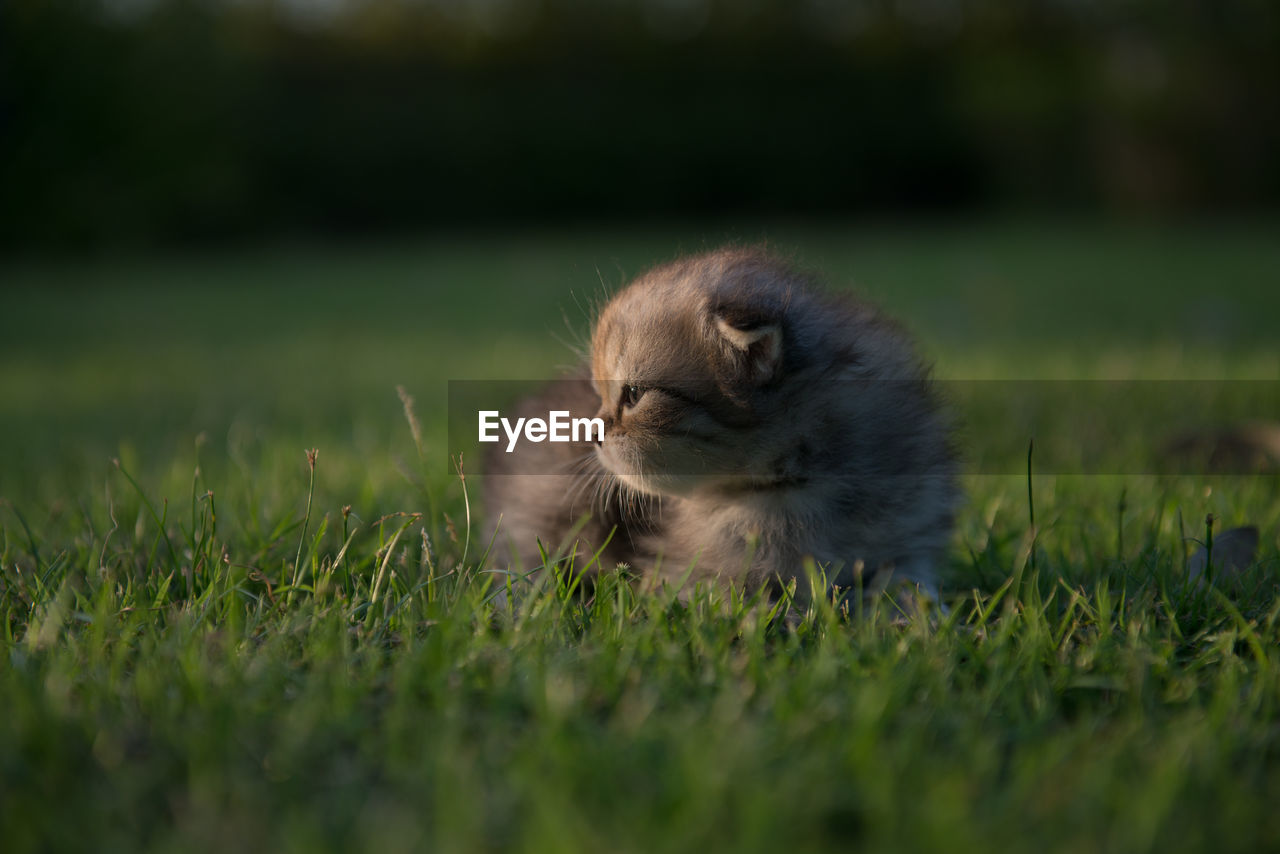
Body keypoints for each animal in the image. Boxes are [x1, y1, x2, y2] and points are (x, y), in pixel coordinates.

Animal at [483, 247, 957, 601]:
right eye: (600, 392)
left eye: (634, 394)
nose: (591, 433)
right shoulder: (688, 573)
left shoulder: (911, 536)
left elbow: (909, 585)